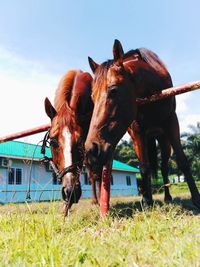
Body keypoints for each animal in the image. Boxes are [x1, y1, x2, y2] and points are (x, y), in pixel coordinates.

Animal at [85, 39, 200, 216]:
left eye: (113, 90)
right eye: (92, 97)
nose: (91, 149)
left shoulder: (172, 122)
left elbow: (182, 161)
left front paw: (196, 199)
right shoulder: (136, 129)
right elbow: (144, 167)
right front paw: (147, 202)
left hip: (163, 140)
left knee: (164, 167)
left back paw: (167, 197)